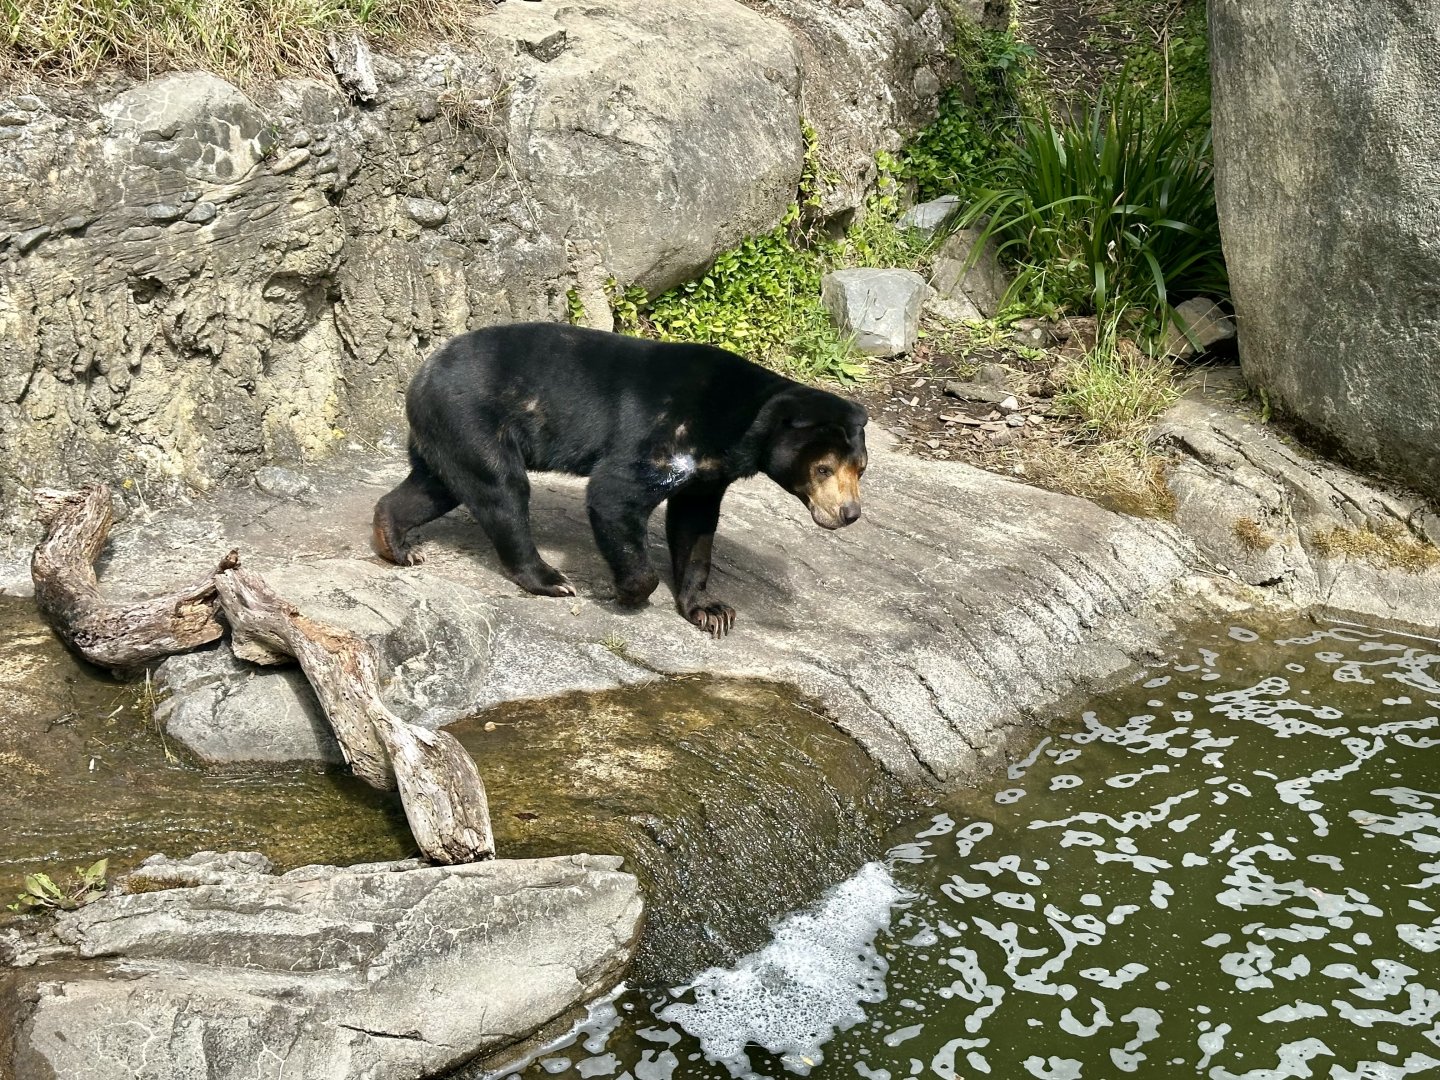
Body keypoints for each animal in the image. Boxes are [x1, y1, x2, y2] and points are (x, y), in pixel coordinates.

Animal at [372, 322, 868, 637]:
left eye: (860, 468)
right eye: (823, 469)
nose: (849, 513)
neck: (743, 424)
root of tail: (421, 373)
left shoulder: (709, 474)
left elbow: (694, 529)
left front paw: (711, 612)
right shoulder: (668, 432)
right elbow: (614, 493)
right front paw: (629, 593)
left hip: (450, 433)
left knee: (437, 486)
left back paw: (395, 542)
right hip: (474, 419)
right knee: (502, 491)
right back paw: (550, 579)